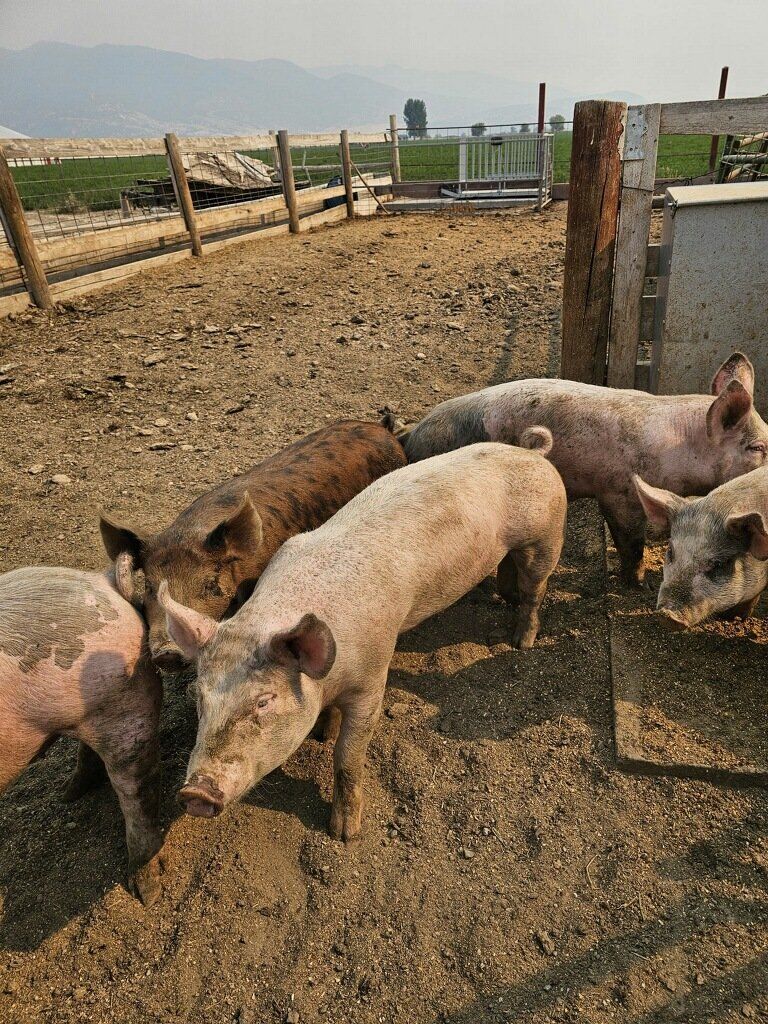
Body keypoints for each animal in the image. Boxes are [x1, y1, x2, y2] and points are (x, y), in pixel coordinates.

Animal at [159, 440, 567, 840]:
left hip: (547, 535)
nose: (195, 793)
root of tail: (532, 453)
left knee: (535, 589)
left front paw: (344, 834)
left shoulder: (373, 676)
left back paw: (520, 641)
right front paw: (322, 732)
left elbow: (348, 757)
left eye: (263, 701)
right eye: (198, 697)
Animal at [400, 353, 768, 587]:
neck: (680, 447)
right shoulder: (618, 492)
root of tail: (412, 438)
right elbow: (630, 543)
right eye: (758, 448)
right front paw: (639, 585)